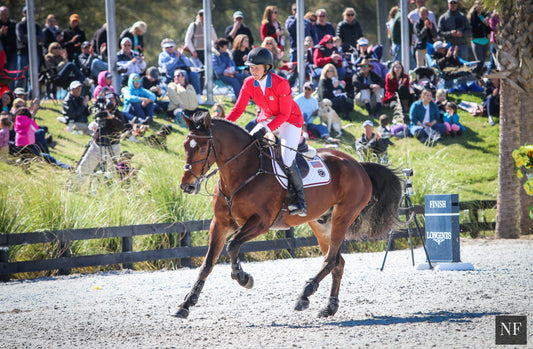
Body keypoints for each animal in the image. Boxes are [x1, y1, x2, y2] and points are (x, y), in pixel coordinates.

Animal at [177, 111, 402, 318]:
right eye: (185, 146)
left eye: (203, 148)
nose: (187, 186)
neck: (242, 172)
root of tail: (359, 165)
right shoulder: (220, 223)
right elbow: (207, 263)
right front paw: (187, 303)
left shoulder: (261, 222)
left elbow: (232, 245)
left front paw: (243, 278)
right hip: (321, 223)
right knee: (338, 263)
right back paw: (329, 307)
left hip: (343, 216)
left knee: (331, 260)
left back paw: (304, 294)